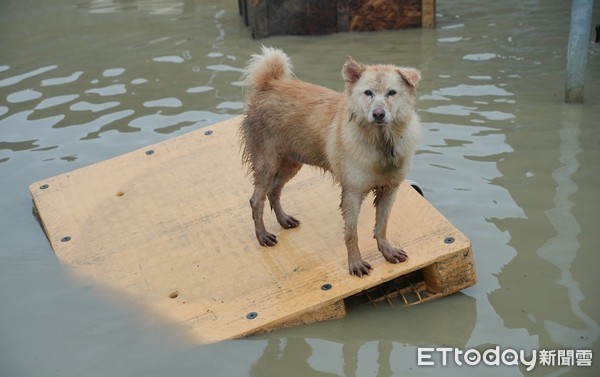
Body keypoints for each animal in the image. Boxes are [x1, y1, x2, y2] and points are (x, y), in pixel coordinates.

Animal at [239, 47, 422, 276]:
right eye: (368, 93)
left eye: (392, 92)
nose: (378, 114)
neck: (380, 141)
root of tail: (270, 82)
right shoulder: (352, 193)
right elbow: (351, 233)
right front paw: (355, 264)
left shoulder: (390, 189)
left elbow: (381, 226)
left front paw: (388, 252)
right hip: (267, 162)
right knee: (257, 199)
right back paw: (263, 236)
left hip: (292, 162)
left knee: (274, 191)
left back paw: (284, 221)